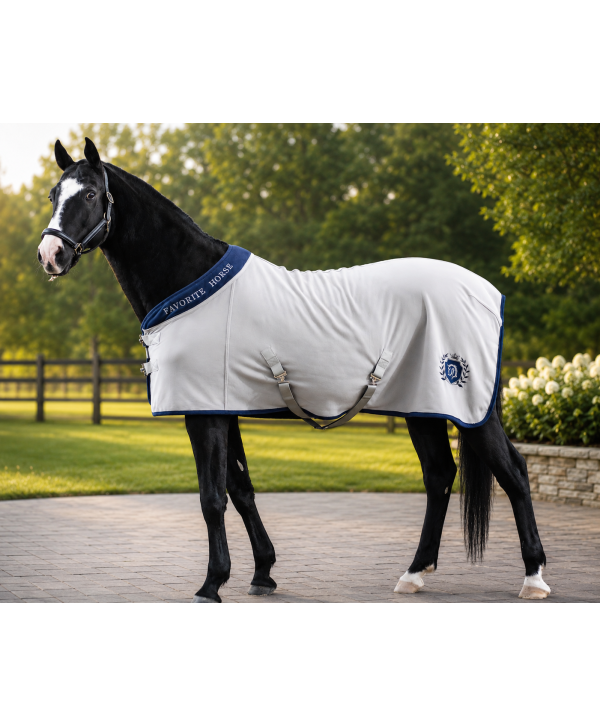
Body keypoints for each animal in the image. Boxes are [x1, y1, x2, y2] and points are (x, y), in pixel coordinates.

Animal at [37, 138, 550, 602]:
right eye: (52, 195)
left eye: (89, 194)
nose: (50, 255)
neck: (189, 279)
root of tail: (486, 291)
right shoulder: (224, 408)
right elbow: (240, 488)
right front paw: (262, 572)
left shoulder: (203, 413)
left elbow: (211, 497)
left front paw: (211, 584)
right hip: (421, 409)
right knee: (440, 476)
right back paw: (414, 573)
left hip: (468, 409)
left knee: (513, 472)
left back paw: (533, 578)